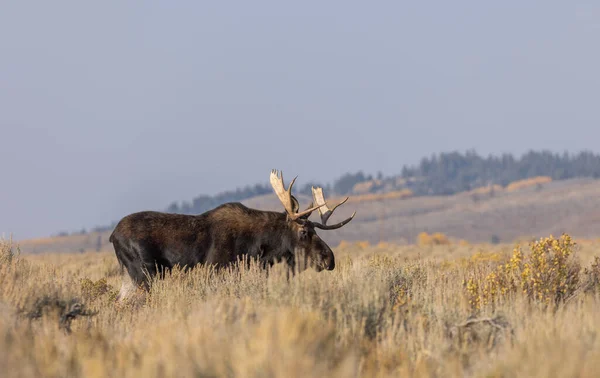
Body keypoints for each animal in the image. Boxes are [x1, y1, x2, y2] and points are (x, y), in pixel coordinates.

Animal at [110, 170, 356, 300]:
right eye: (304, 231)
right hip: (144, 273)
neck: (261, 247)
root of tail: (113, 235)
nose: (329, 259)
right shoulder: (219, 270)